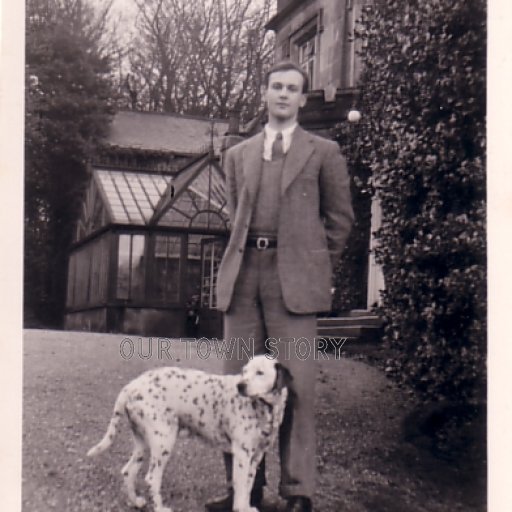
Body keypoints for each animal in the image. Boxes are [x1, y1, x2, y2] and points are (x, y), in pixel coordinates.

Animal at [86, 356, 290, 512]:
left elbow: (247, 488)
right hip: (163, 443)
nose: (240, 385)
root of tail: (132, 386)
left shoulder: (255, 457)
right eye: (244, 371)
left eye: (260, 372)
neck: (265, 408)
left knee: (128, 471)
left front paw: (247, 507)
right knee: (151, 478)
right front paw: (241, 508)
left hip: (143, 444)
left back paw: (135, 502)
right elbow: (240, 491)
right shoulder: (241, 455)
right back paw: (160, 508)